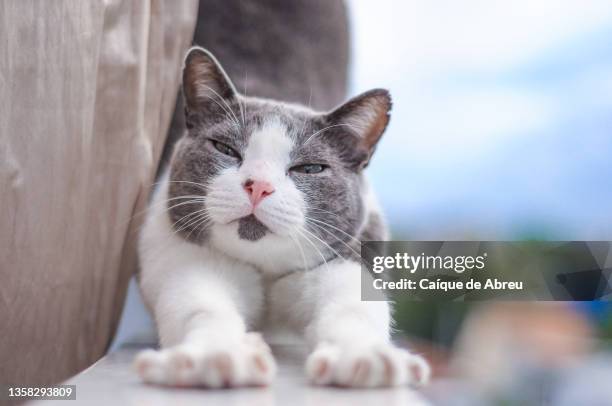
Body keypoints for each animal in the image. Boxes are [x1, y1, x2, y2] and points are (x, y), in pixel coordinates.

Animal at [134, 46, 430, 388]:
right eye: (225, 148)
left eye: (310, 168)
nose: (259, 186)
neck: (266, 269)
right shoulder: (185, 257)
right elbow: (200, 305)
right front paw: (216, 355)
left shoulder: (346, 259)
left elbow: (352, 309)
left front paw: (365, 357)